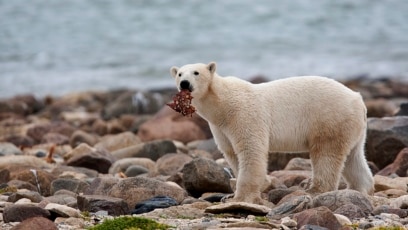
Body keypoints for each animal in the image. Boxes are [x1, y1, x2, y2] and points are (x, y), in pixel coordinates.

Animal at [171, 61, 374, 205]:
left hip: (329, 118)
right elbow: (231, 153)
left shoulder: (244, 115)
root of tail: (358, 99)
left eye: (196, 72)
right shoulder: (220, 127)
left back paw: (314, 190)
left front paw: (241, 197)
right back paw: (360, 189)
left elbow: (251, 150)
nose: (184, 83)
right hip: (352, 127)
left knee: (326, 154)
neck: (223, 104)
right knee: (354, 158)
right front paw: (229, 196)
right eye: (180, 73)